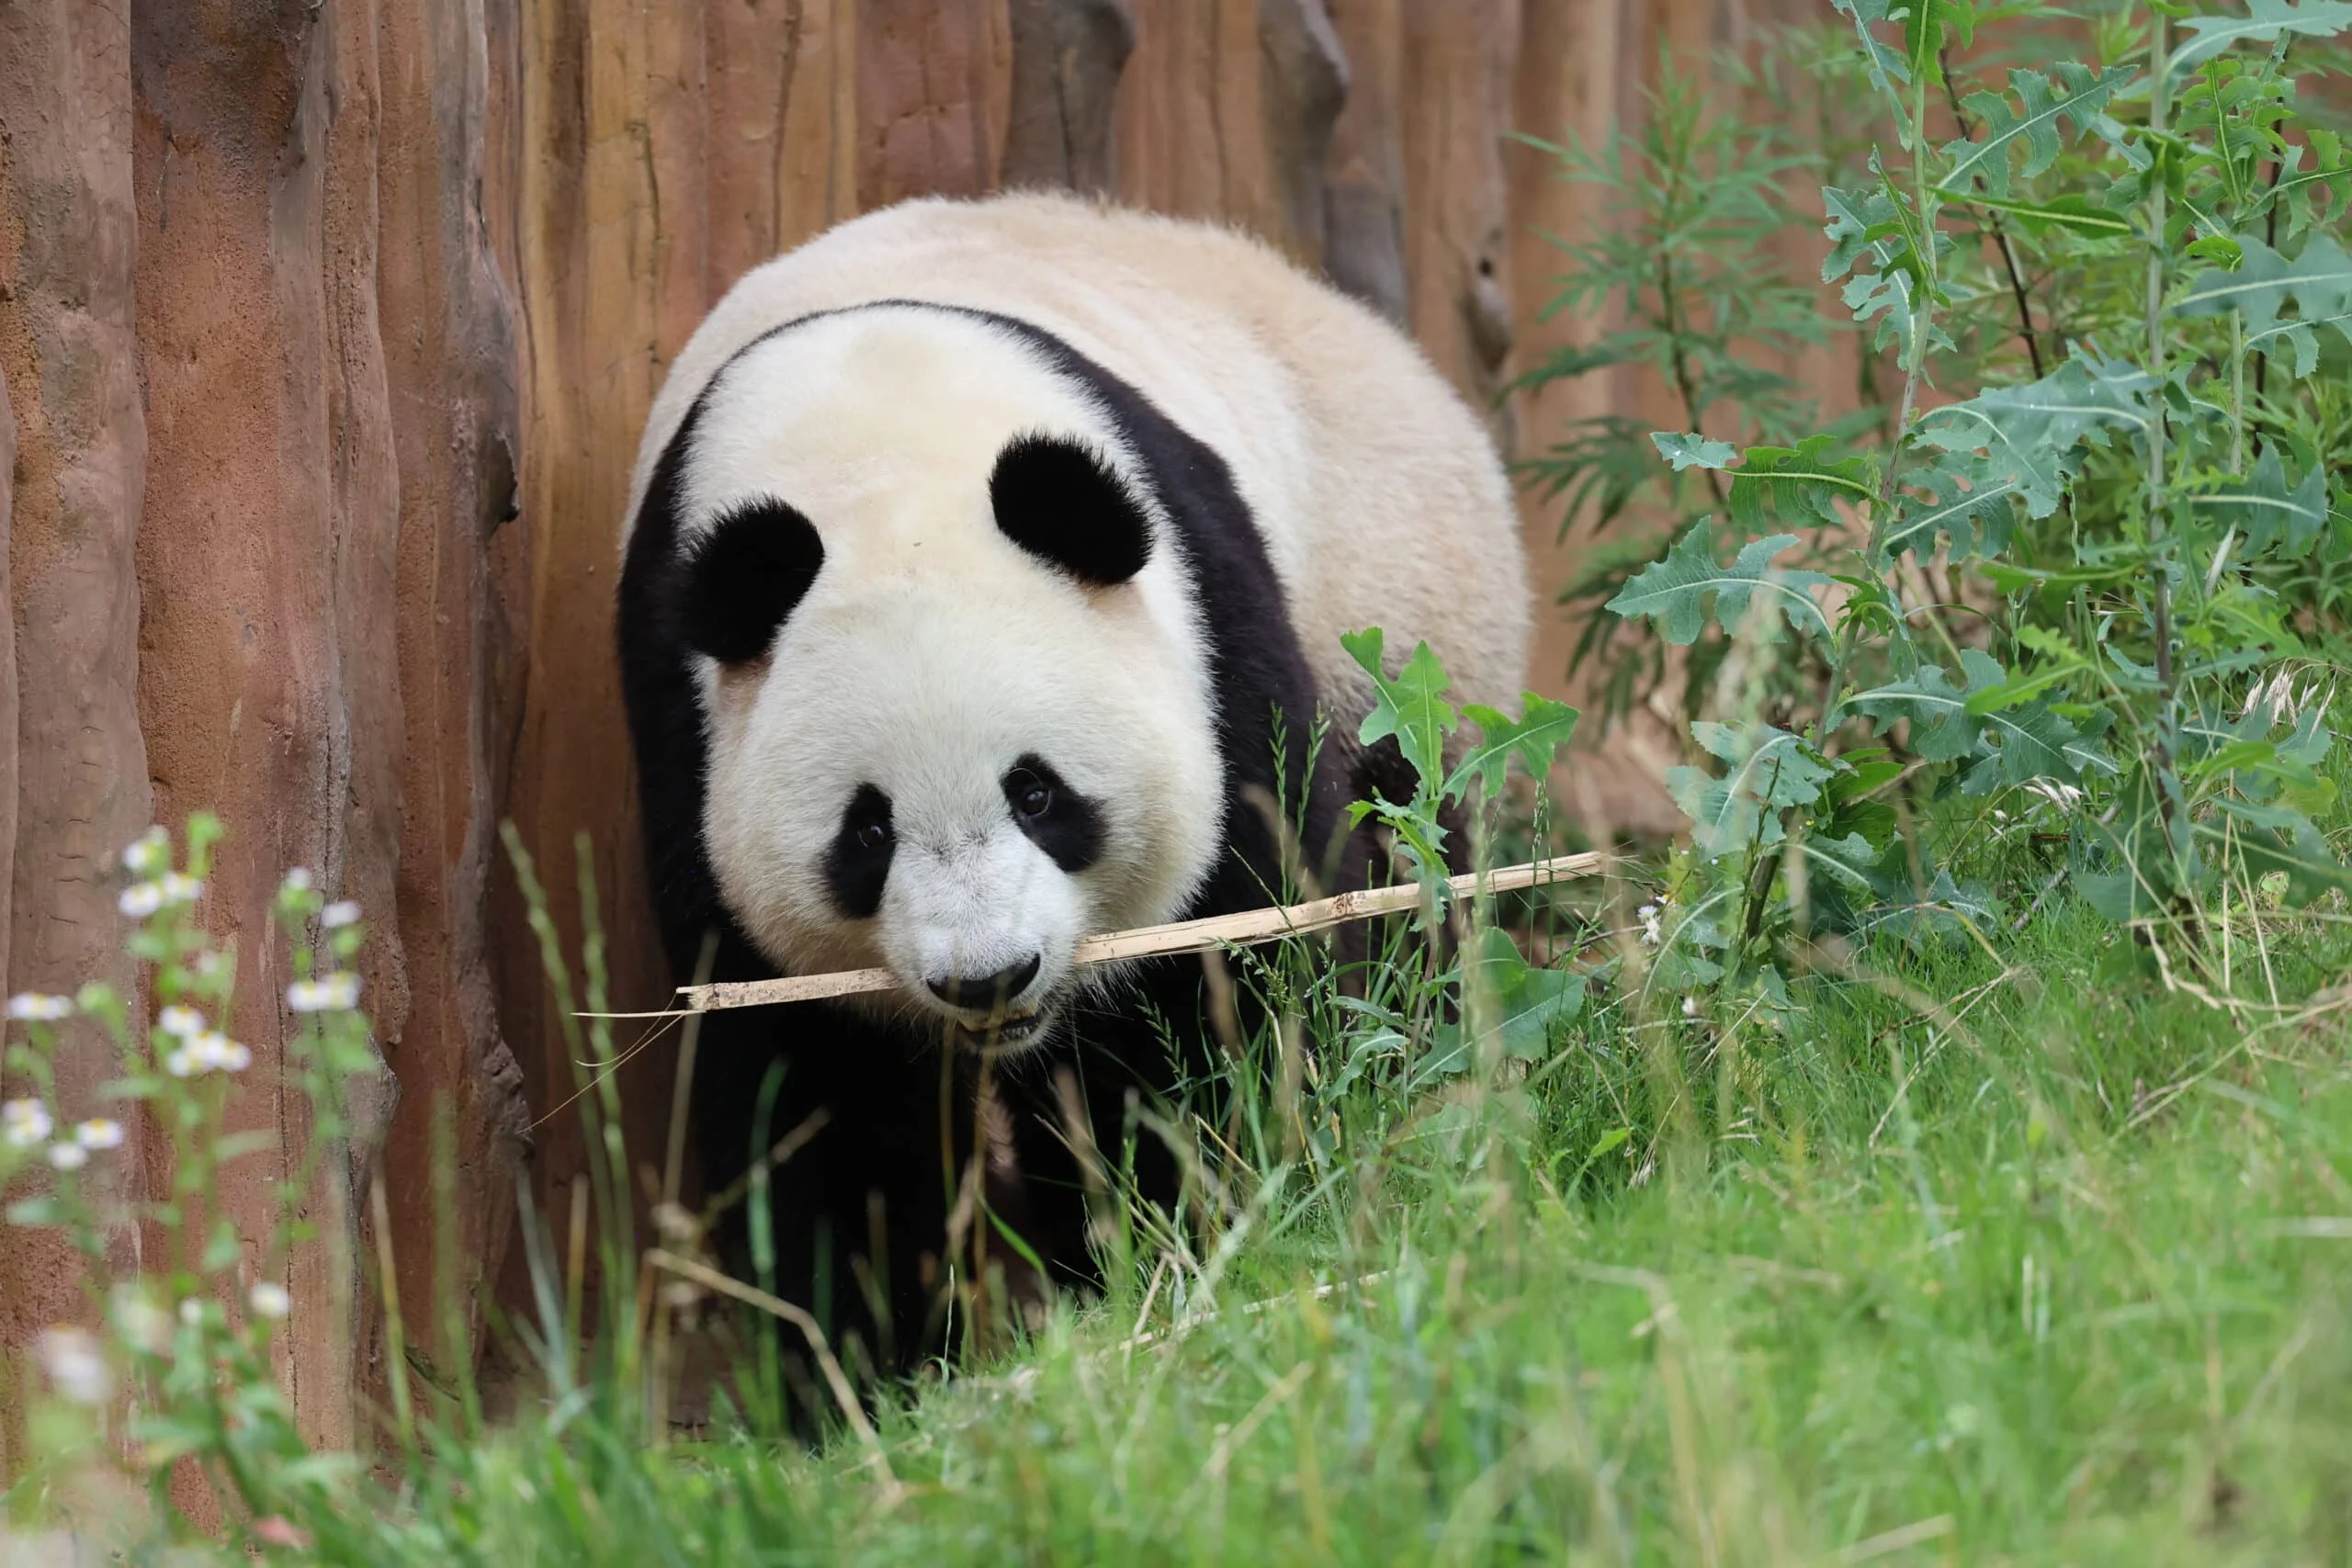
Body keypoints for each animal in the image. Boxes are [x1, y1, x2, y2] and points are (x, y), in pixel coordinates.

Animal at [616, 192, 1530, 1376]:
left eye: (1037, 795)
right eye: (867, 833)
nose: (988, 979)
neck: (875, 446)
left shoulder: (1211, 626)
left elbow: (1221, 971)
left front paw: (1197, 1230)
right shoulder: (683, 724)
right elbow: (815, 1084)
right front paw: (880, 1365)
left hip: (1397, 613)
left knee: (1424, 874)